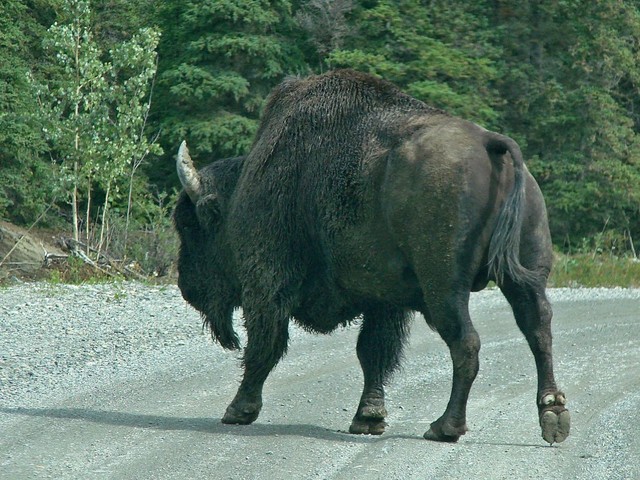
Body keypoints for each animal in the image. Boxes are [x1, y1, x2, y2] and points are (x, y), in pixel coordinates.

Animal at [174, 69, 568, 444]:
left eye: (190, 226)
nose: (186, 287)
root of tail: (491, 144)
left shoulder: (267, 283)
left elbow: (265, 345)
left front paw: (238, 410)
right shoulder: (384, 301)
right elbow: (373, 352)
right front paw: (369, 418)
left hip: (444, 286)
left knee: (466, 343)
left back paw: (445, 427)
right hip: (526, 274)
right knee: (538, 329)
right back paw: (553, 416)